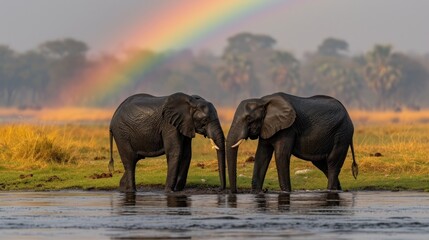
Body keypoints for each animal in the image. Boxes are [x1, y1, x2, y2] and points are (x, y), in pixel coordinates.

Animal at [226, 92, 356, 193]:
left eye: (249, 119)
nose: (235, 192)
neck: (263, 101)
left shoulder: (288, 128)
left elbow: (281, 155)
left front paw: (286, 192)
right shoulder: (267, 126)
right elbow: (262, 155)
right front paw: (256, 192)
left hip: (342, 133)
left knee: (332, 162)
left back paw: (331, 190)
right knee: (322, 164)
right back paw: (337, 189)